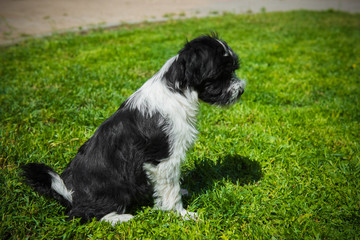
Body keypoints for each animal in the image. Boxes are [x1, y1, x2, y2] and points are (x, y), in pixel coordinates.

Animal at [21, 33, 246, 225]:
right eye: (222, 74)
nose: (242, 89)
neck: (178, 91)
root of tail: (68, 193)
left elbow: (167, 185)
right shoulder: (164, 159)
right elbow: (170, 189)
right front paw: (181, 214)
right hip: (115, 188)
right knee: (85, 215)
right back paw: (121, 218)